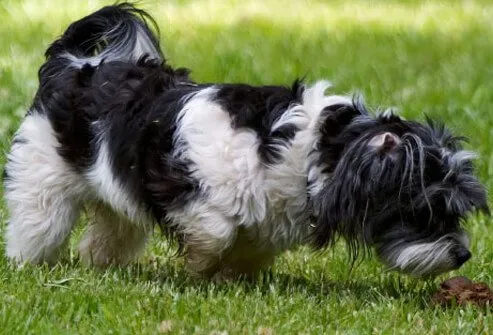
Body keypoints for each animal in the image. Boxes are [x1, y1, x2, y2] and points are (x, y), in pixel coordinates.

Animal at [2, 3, 488, 280]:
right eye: (427, 211)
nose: (463, 255)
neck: (309, 148)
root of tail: (73, 63)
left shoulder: (268, 216)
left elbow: (253, 245)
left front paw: (234, 275)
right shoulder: (186, 183)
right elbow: (217, 231)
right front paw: (200, 265)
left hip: (112, 186)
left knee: (112, 229)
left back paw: (100, 262)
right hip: (43, 181)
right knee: (38, 222)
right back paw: (29, 263)